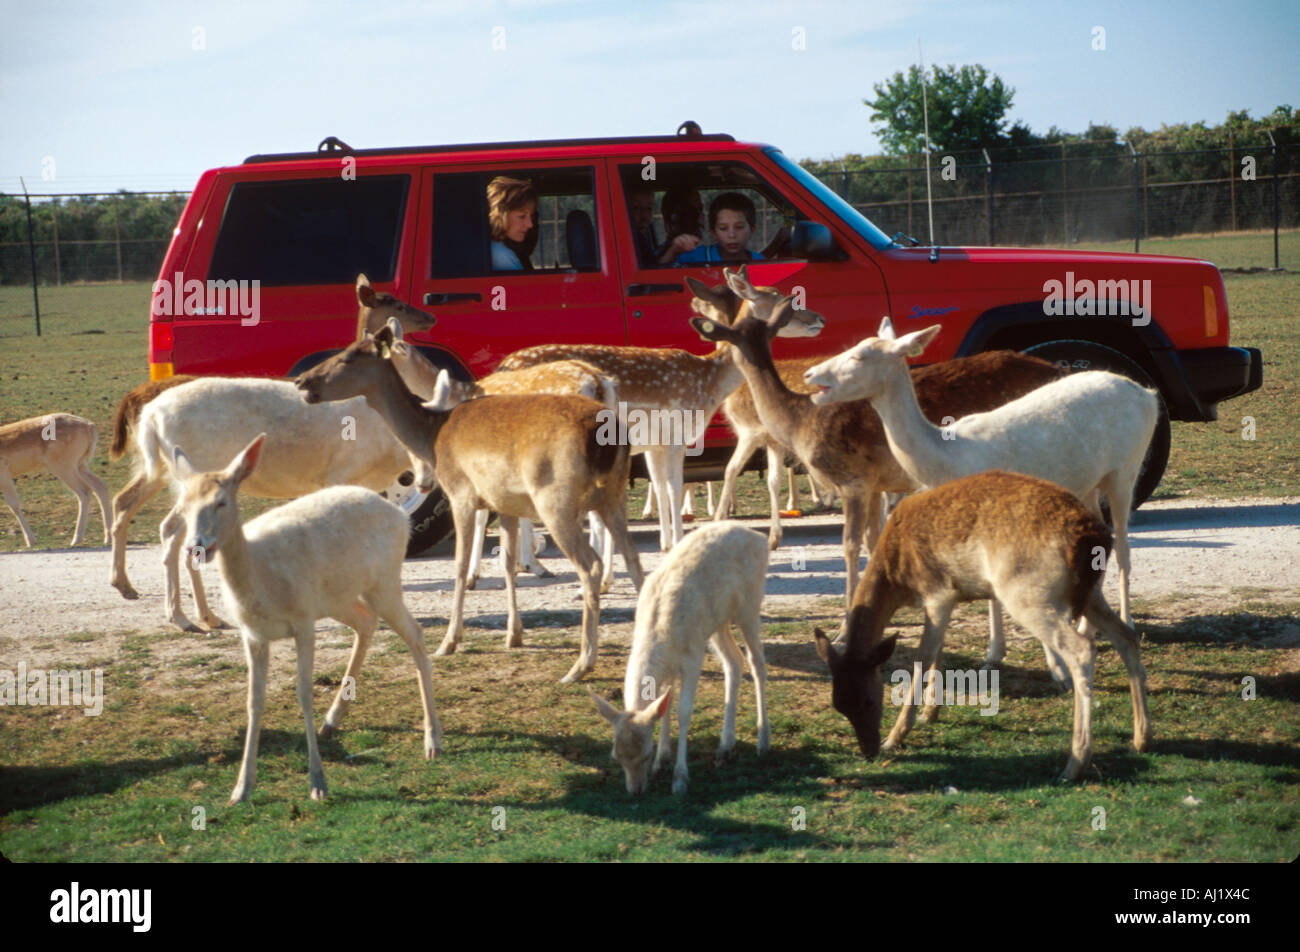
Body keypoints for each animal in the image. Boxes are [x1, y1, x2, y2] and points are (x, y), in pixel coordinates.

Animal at [1, 413, 111, 546]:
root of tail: (91, 427)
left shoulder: (4, 474)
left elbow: (14, 506)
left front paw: (31, 541)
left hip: (63, 465)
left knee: (84, 491)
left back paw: (76, 539)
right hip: (80, 463)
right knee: (100, 485)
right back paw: (107, 537)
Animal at [816, 473, 1154, 785]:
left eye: (869, 700)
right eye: (838, 704)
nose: (868, 750)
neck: (895, 575)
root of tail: (1094, 538)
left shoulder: (937, 593)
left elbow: (923, 658)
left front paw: (896, 736)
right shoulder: (947, 599)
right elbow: (937, 653)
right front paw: (931, 713)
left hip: (1029, 594)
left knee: (1082, 649)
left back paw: (1074, 763)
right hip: (1088, 594)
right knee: (1126, 636)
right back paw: (1141, 738)